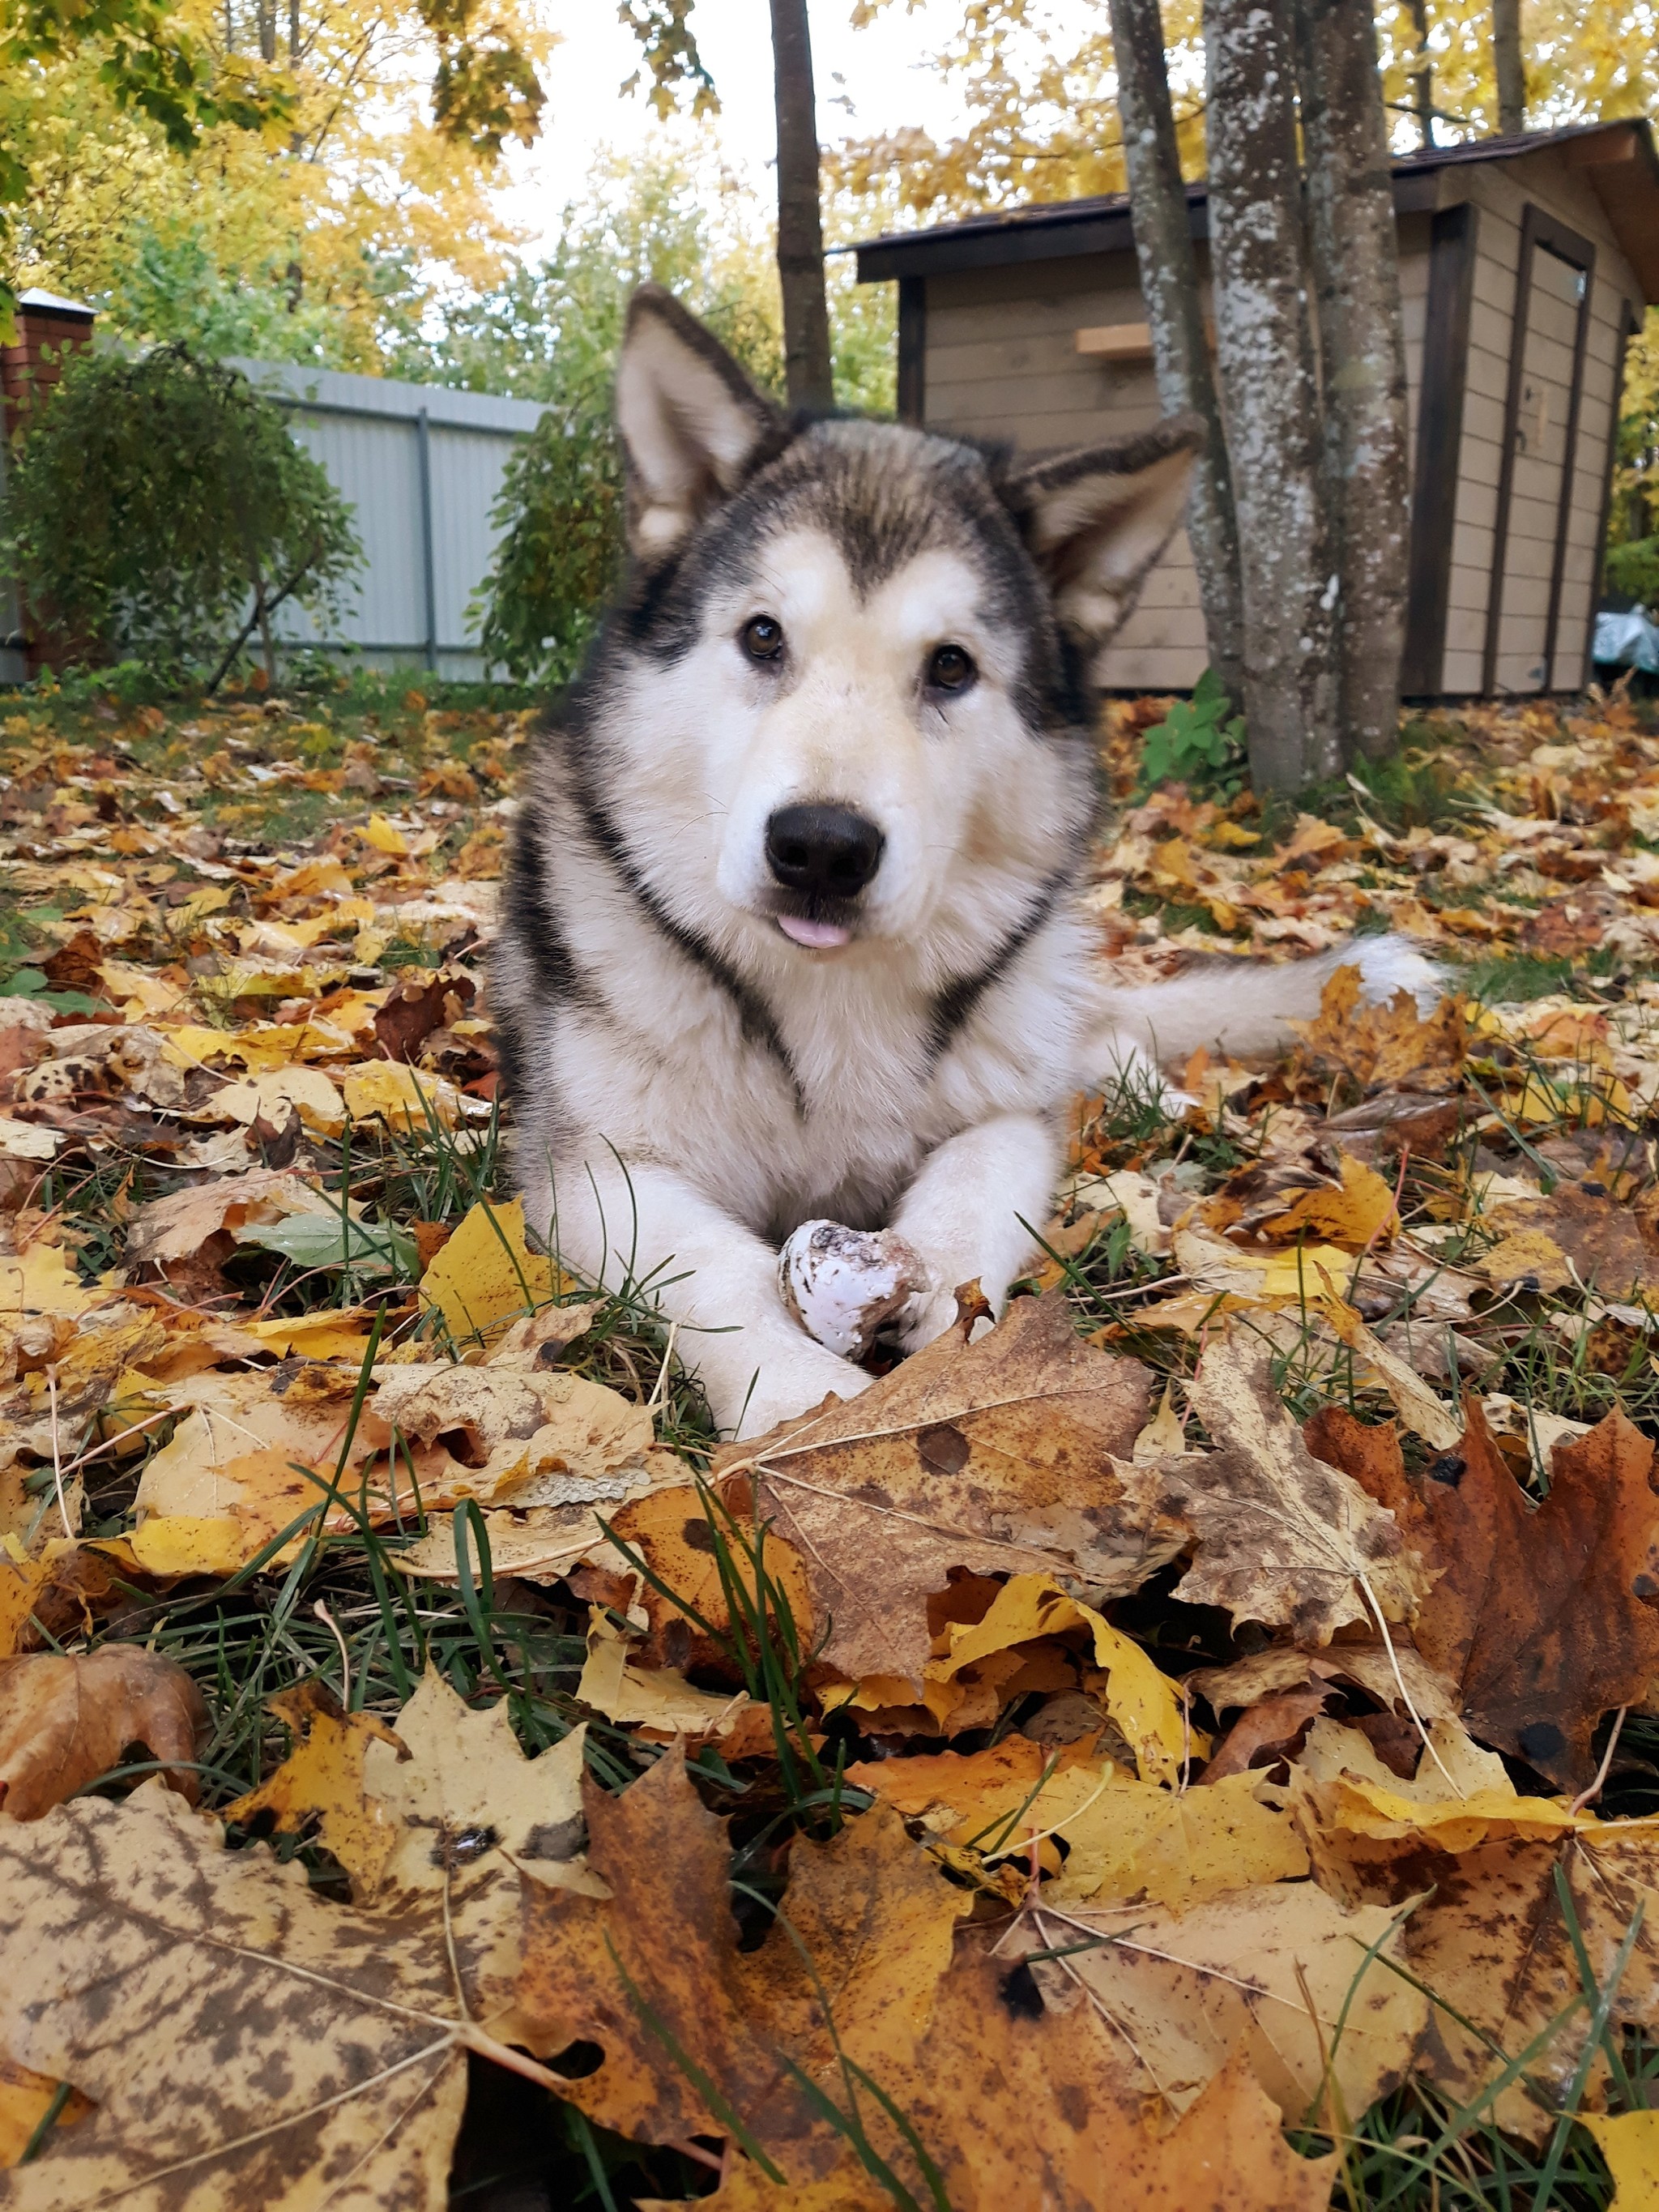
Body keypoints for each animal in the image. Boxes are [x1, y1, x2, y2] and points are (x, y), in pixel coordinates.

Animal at [497, 289, 1442, 1433]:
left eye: (950, 666)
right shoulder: (593, 1170)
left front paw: (951, 1313)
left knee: (1102, 1044)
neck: (826, 1005)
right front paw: (801, 1398)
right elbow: (716, 1267)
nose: (821, 848)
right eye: (762, 637)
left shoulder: (1004, 1113)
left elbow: (979, 1174)